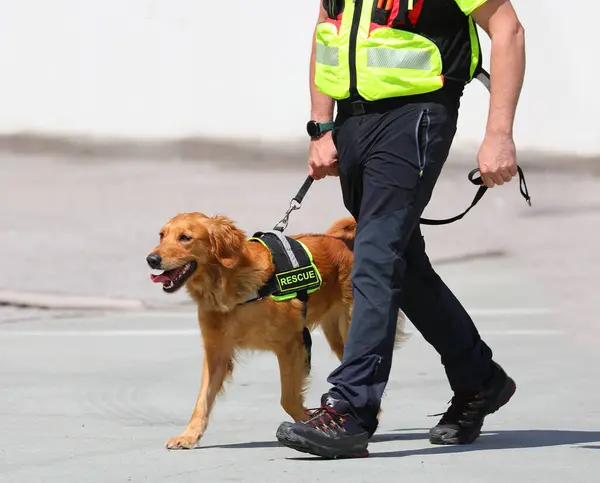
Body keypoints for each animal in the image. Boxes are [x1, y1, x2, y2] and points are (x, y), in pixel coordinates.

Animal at [148, 214, 406, 452]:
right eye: (161, 235)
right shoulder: (216, 353)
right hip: (336, 337)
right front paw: (189, 436)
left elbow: (288, 399)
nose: (151, 259)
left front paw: (309, 422)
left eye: (185, 238)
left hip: (350, 326)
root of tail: (341, 241)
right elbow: (202, 400)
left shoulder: (290, 345)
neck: (231, 287)